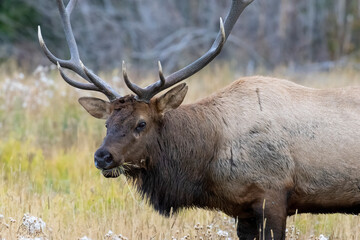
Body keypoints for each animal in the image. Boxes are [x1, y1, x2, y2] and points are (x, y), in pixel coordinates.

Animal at [37, 0, 360, 240]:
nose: (102, 156)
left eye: (141, 123)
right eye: (107, 124)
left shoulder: (274, 193)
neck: (210, 160)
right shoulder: (243, 210)